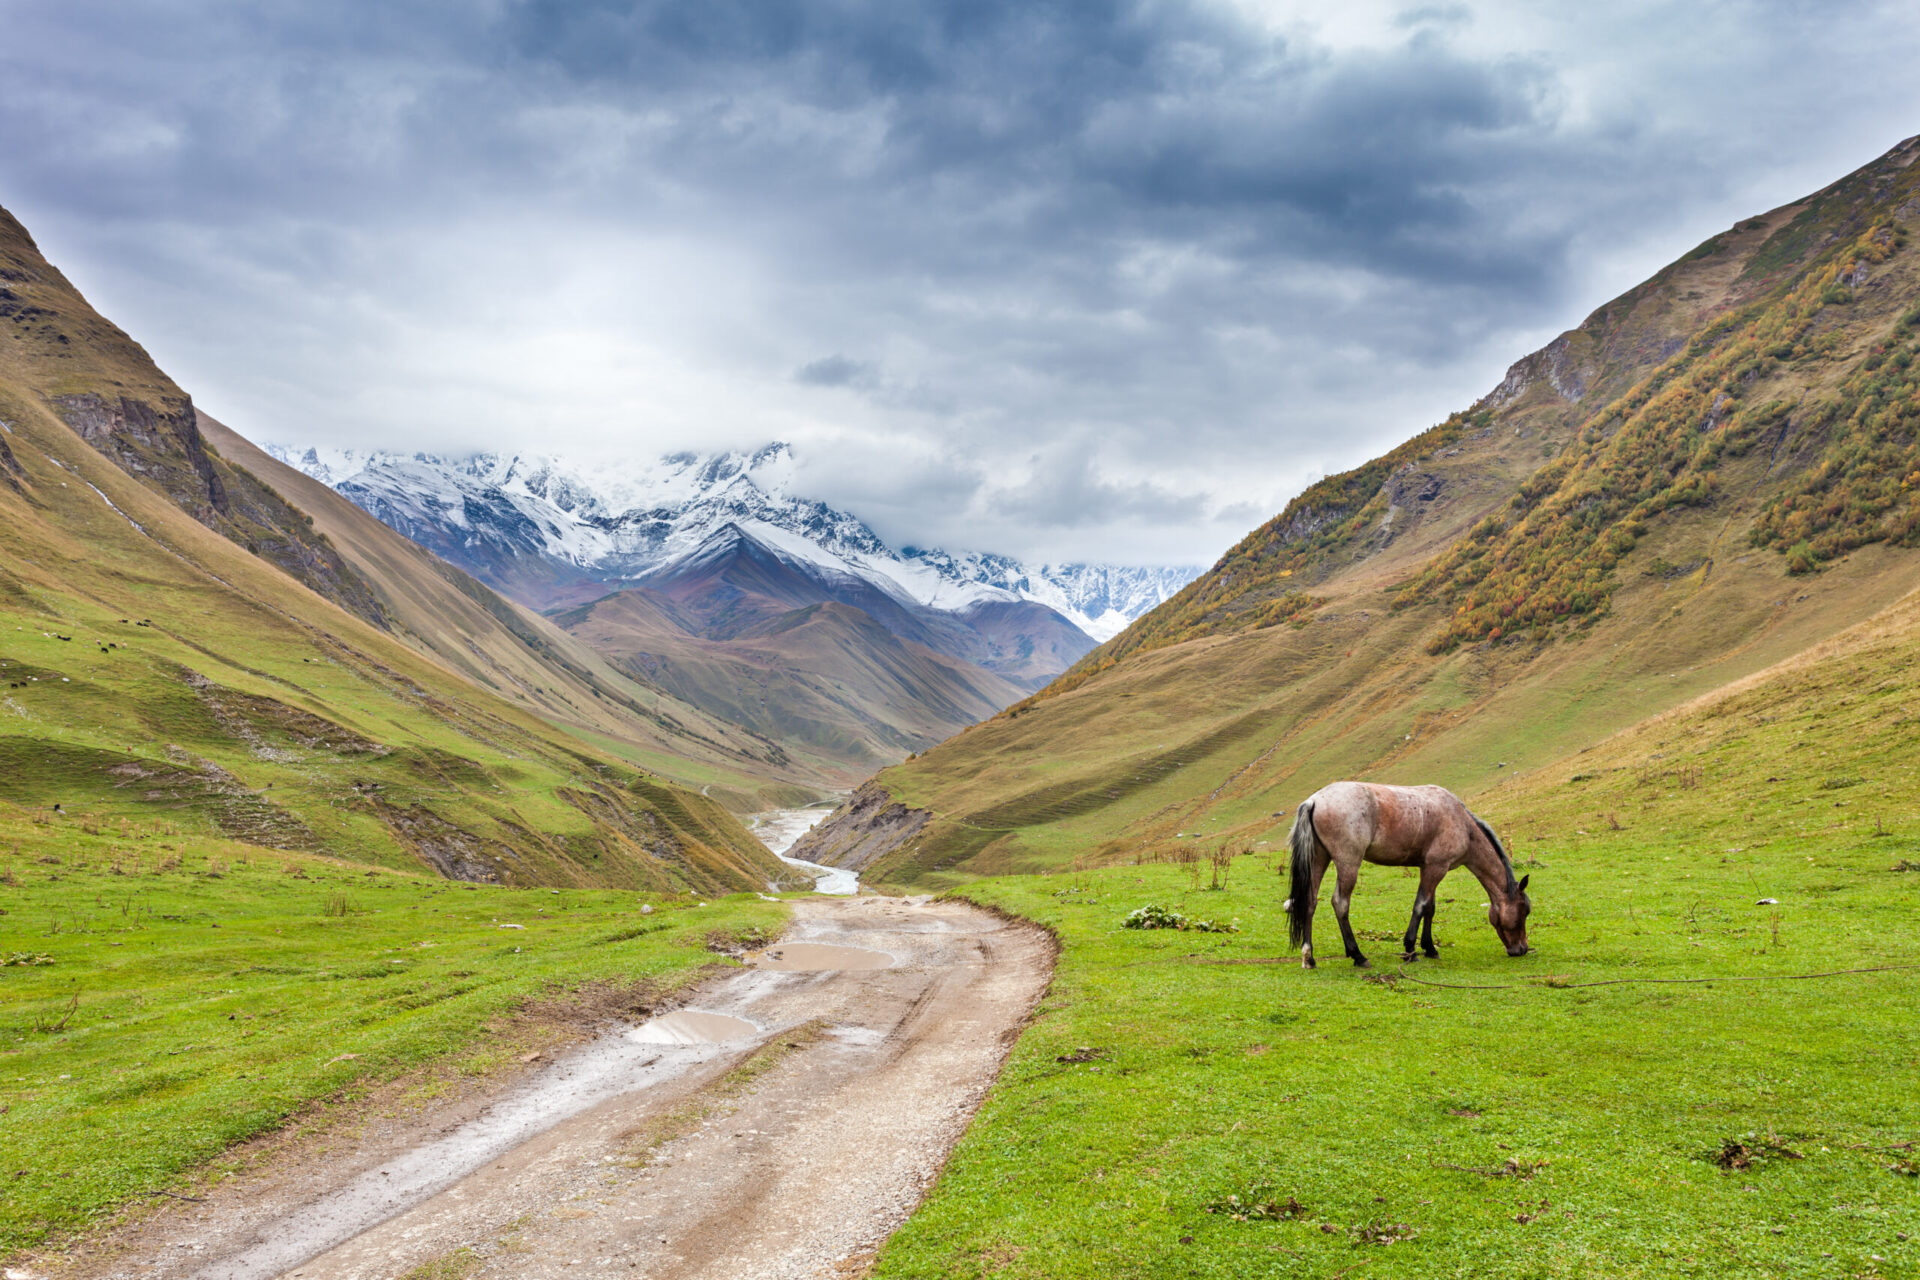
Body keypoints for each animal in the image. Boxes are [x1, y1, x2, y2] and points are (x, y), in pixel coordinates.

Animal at [1282, 782, 1536, 971]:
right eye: (1524, 911)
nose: (1521, 949)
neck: (1463, 824)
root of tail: (1315, 800)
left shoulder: (1430, 868)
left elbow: (1430, 908)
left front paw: (1429, 947)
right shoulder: (1436, 868)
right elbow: (1421, 905)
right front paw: (1411, 948)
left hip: (1318, 859)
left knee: (1310, 902)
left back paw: (1309, 957)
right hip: (1348, 863)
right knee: (1340, 903)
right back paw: (1358, 955)